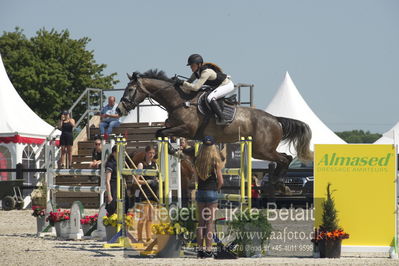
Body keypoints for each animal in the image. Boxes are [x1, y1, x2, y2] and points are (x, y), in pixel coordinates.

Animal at [117, 69, 314, 192]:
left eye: (131, 89)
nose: (119, 109)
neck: (179, 101)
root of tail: (276, 119)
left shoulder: (187, 130)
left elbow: (162, 133)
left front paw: (176, 151)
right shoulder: (175, 127)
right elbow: (161, 132)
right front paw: (176, 150)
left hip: (262, 150)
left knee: (285, 158)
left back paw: (280, 183)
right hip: (262, 150)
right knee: (285, 158)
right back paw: (278, 183)